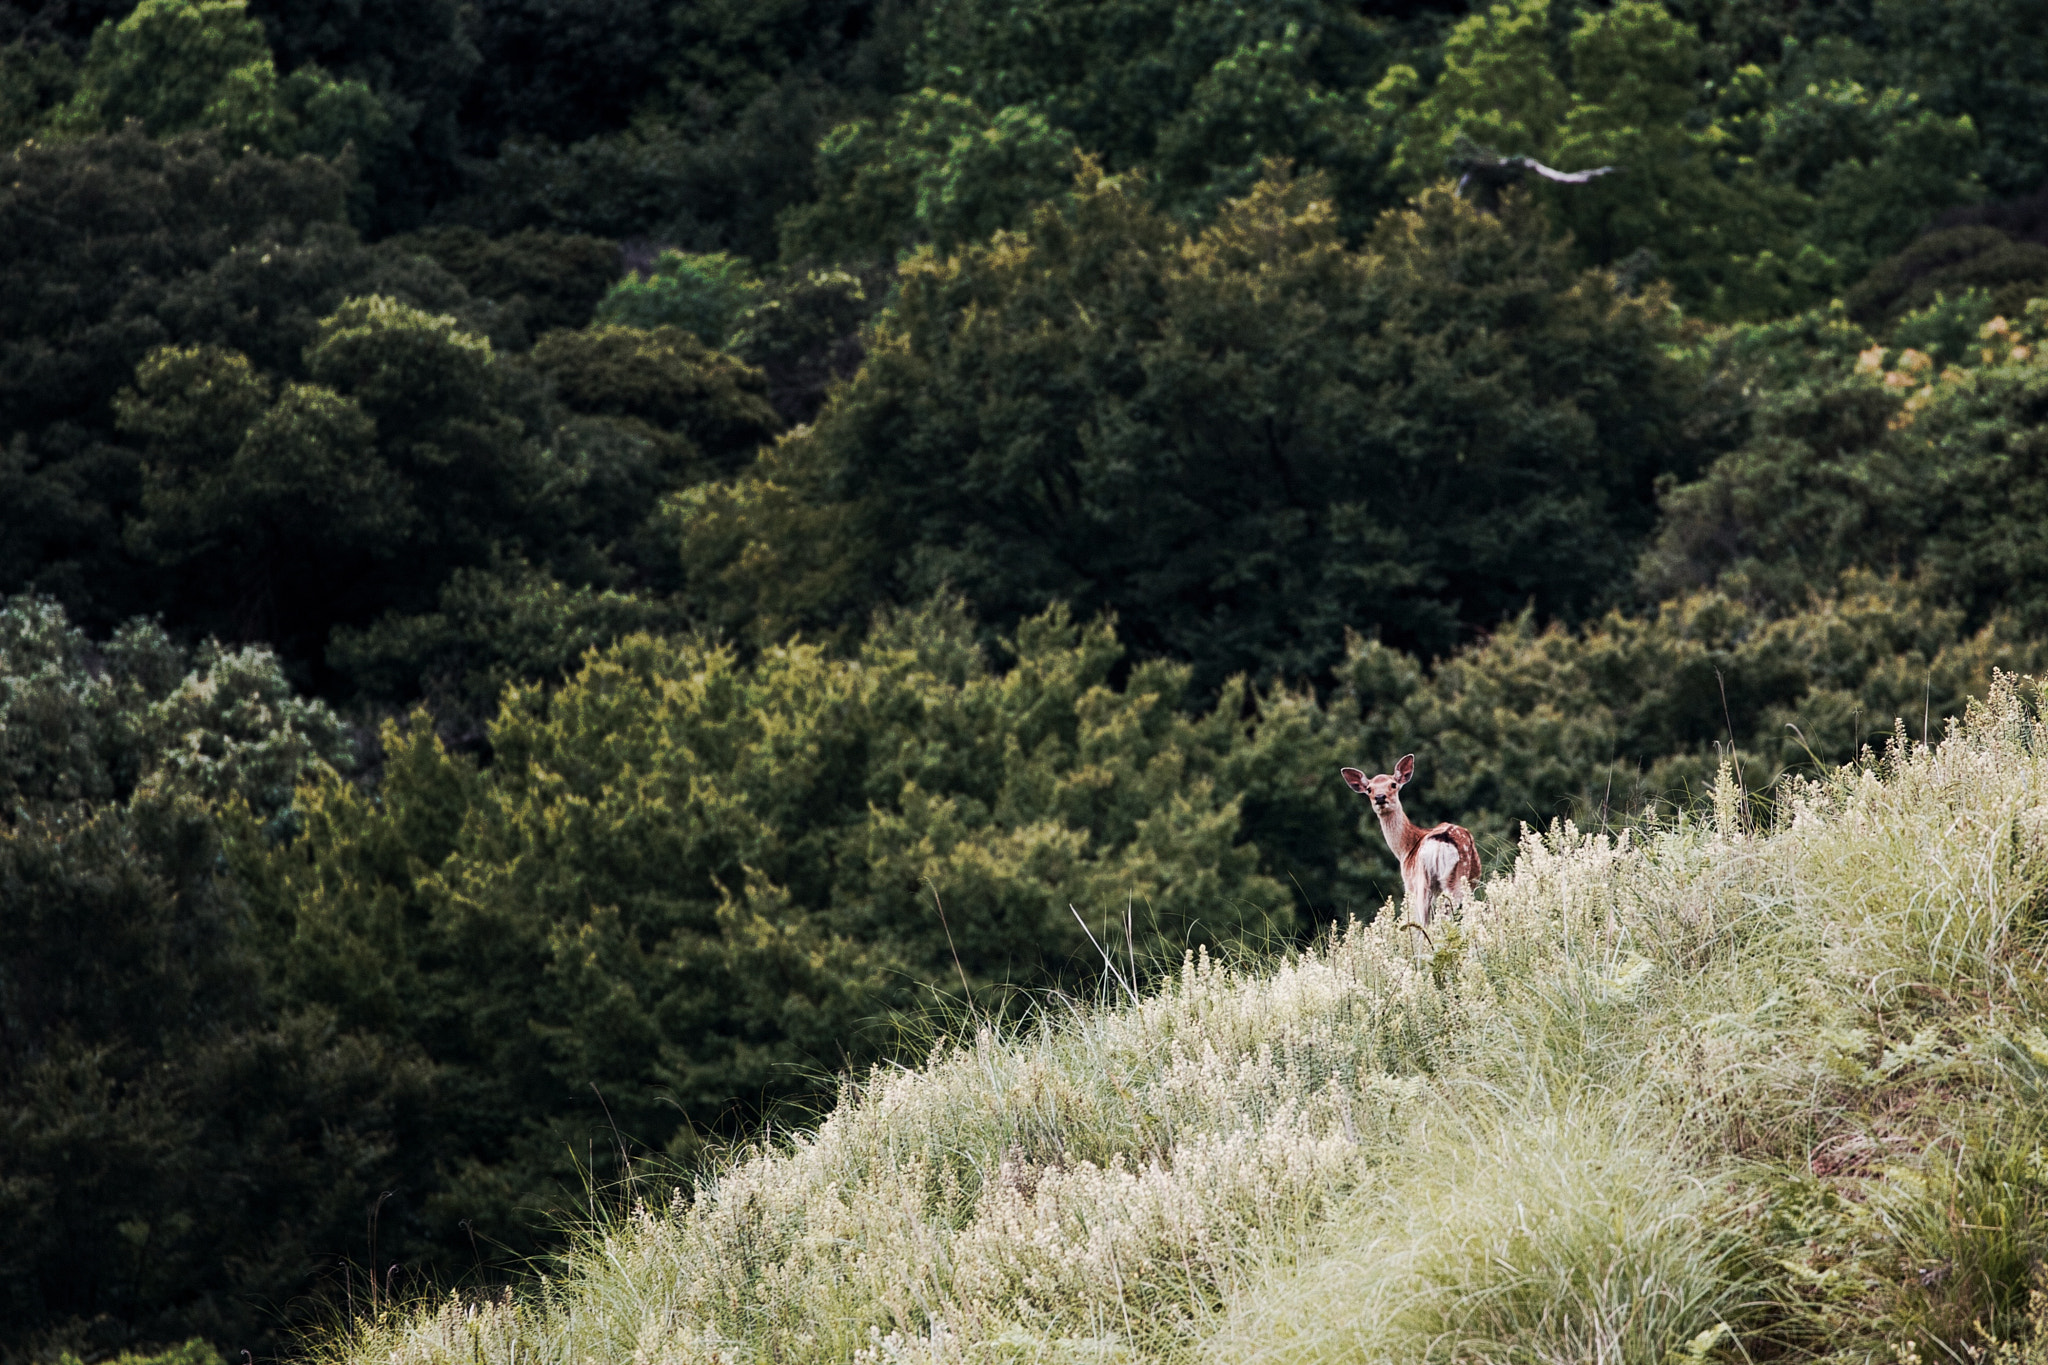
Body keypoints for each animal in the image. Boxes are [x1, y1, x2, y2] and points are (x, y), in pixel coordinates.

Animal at [1341, 754, 1481, 941]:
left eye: (1393, 784)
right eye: (1369, 789)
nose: (1380, 797)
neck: (1405, 849)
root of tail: (1442, 842)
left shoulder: (1409, 883)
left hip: (1434, 882)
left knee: (1425, 924)